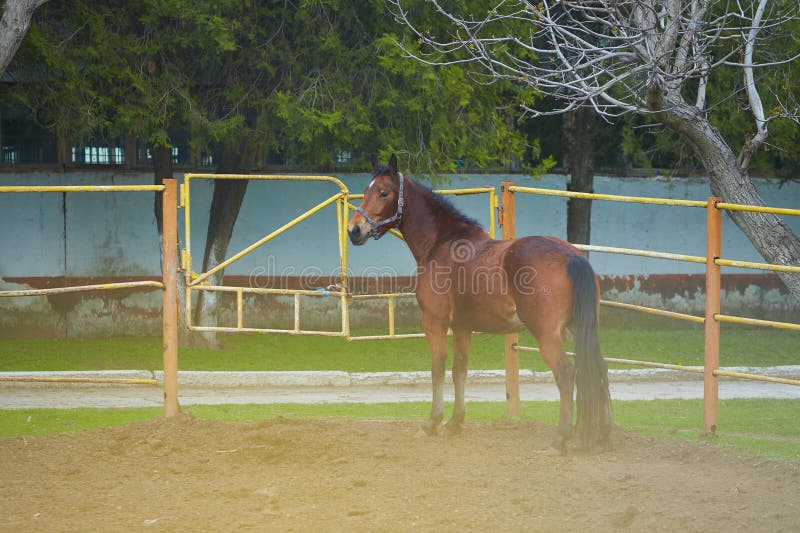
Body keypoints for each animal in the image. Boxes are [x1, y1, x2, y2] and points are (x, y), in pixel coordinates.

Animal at [346, 154, 608, 448]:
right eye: (366, 190)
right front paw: (454, 422)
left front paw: (432, 422)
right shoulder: (462, 327)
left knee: (566, 374)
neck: (441, 243)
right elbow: (459, 369)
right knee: (599, 368)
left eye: (384, 192)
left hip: (547, 335)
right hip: (583, 329)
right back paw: (603, 435)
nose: (354, 230)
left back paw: (561, 438)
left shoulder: (435, 323)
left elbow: (438, 370)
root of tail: (570, 255)